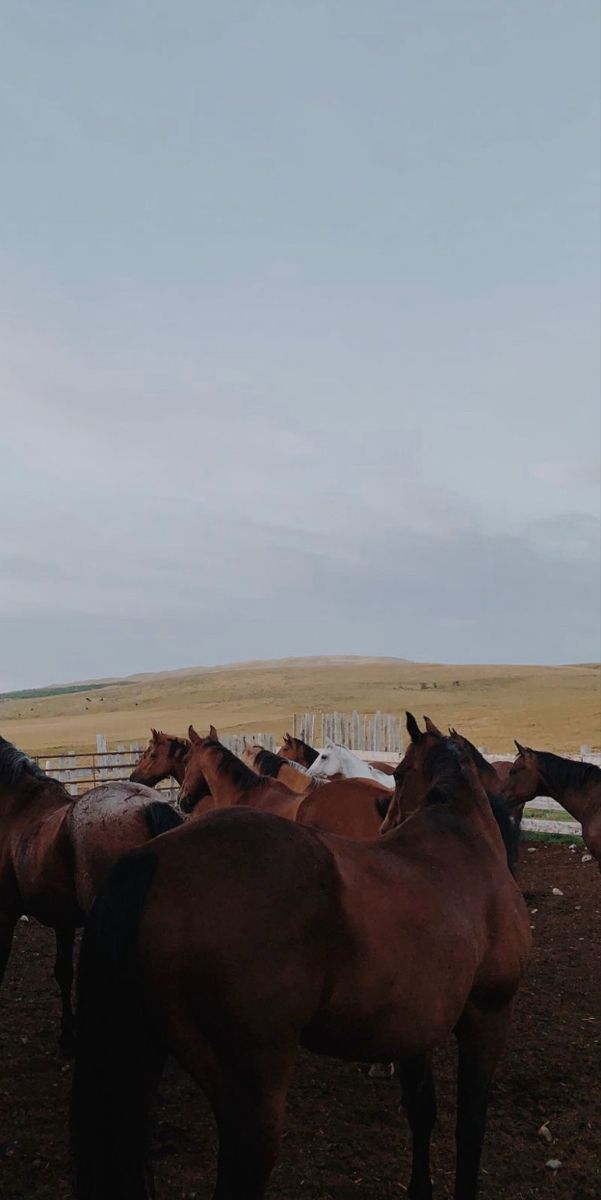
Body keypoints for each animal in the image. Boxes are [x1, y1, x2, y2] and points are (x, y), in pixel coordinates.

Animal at [0, 729, 179, 1051]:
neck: (16, 808)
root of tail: (148, 807)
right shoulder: (63, 921)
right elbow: (63, 972)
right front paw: (68, 1034)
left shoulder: (5, 914)